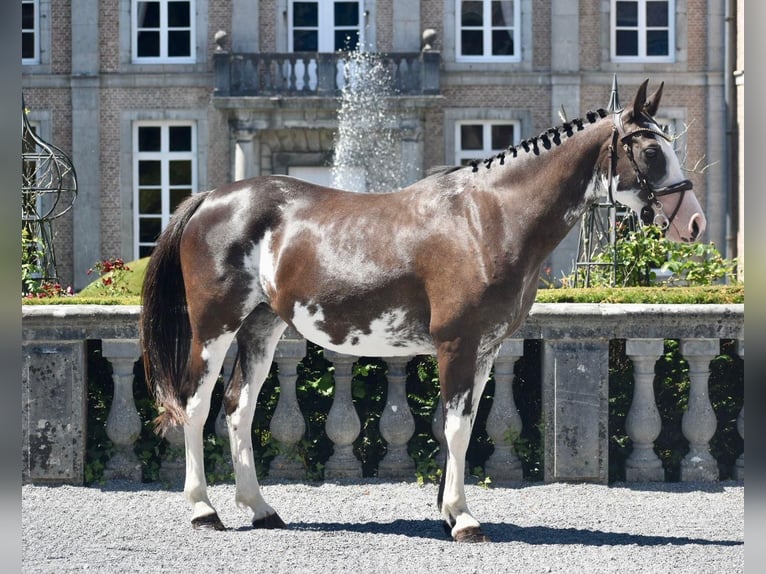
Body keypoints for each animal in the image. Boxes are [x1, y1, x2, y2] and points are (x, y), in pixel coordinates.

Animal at [140, 79, 706, 543]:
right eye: (651, 149)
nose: (695, 223)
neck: (488, 218)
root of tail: (212, 197)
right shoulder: (457, 343)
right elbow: (454, 428)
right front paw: (463, 519)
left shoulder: (485, 349)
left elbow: (465, 427)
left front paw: (448, 511)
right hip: (214, 326)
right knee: (195, 405)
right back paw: (204, 511)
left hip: (262, 325)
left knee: (239, 406)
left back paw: (260, 509)